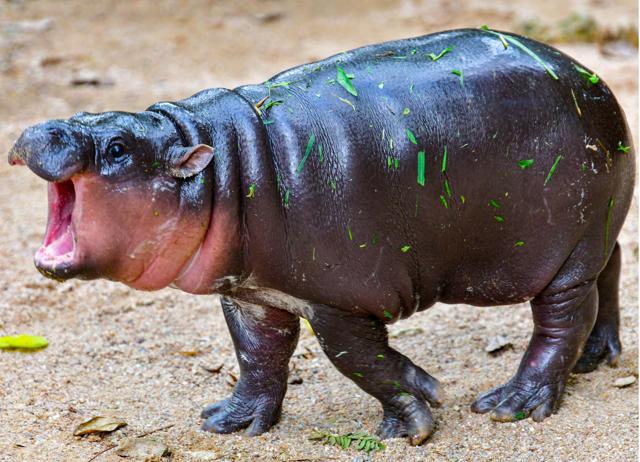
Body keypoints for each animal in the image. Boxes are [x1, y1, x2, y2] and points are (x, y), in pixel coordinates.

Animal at [8, 28, 635, 445]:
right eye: (86, 111)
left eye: (117, 147)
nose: (40, 129)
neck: (222, 167)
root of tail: (594, 82)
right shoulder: (250, 293)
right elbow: (257, 354)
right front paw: (230, 421)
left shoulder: (341, 301)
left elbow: (360, 360)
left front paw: (414, 418)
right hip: (597, 229)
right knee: (611, 271)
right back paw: (596, 359)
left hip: (564, 253)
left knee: (562, 319)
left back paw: (512, 404)